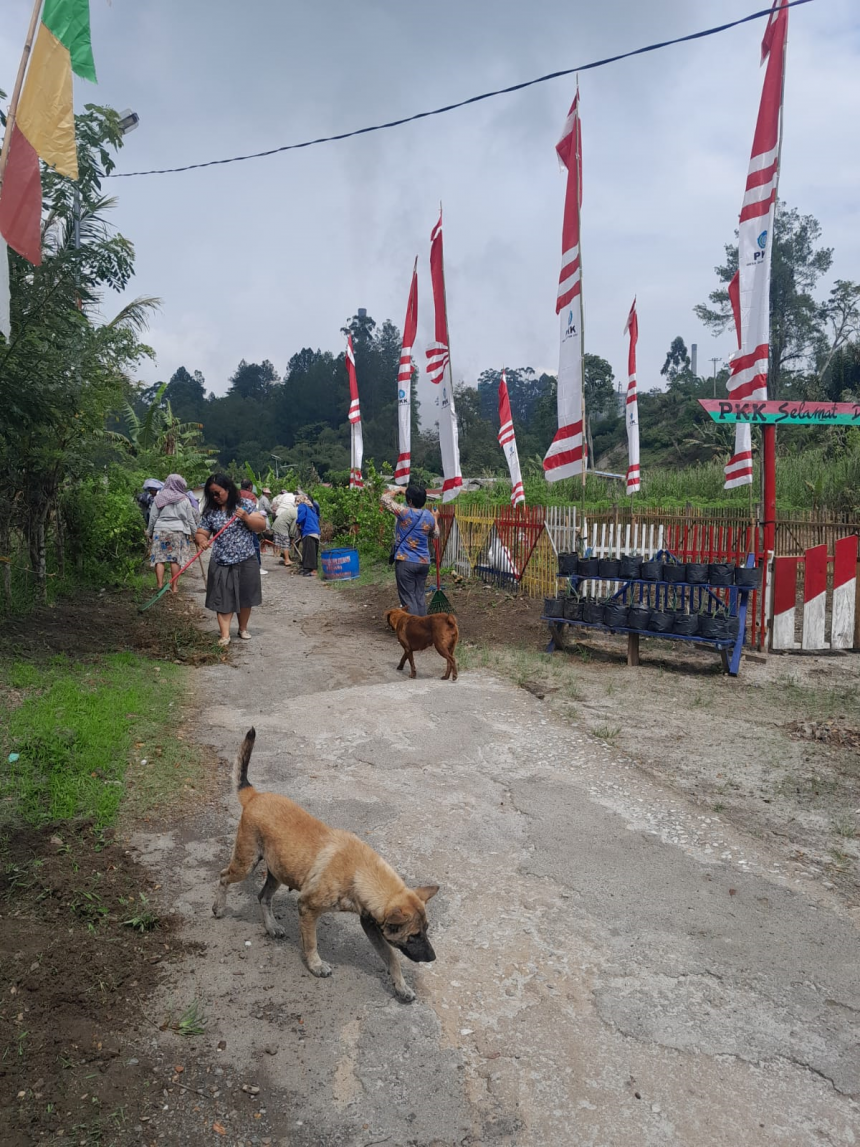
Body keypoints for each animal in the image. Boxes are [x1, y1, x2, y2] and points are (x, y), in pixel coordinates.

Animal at [209, 729, 438, 1000]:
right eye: (414, 936)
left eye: (426, 930)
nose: (433, 958)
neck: (360, 871)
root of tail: (255, 795)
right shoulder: (307, 908)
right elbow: (311, 942)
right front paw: (316, 965)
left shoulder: (371, 925)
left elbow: (391, 958)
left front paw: (401, 986)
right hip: (246, 864)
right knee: (223, 876)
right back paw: (219, 908)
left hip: (278, 871)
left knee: (263, 897)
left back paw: (272, 926)